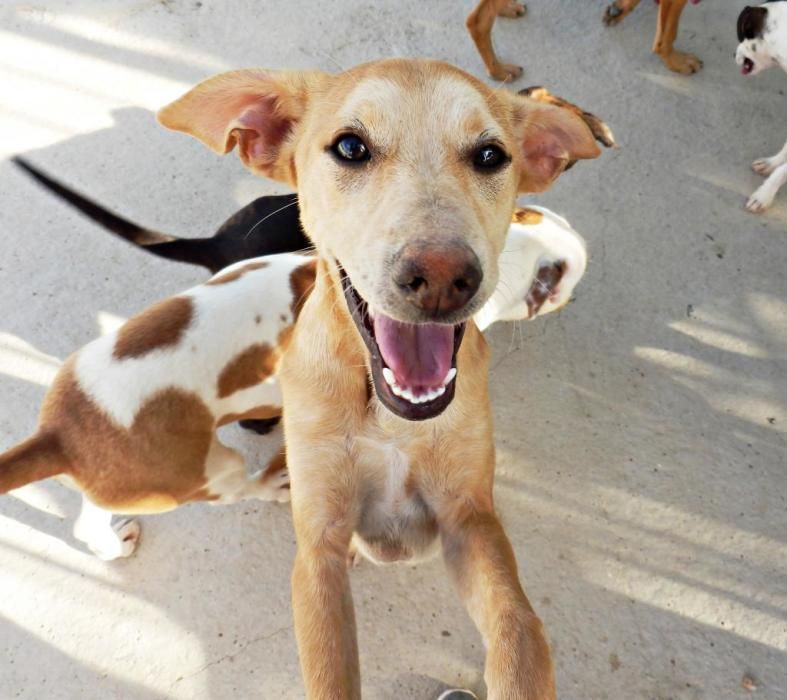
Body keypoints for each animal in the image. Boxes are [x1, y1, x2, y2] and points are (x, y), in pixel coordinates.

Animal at [151, 58, 608, 700]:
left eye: (491, 155)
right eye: (350, 147)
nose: (442, 279)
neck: (390, 418)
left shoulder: (470, 521)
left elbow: (519, 629)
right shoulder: (318, 545)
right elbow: (329, 668)